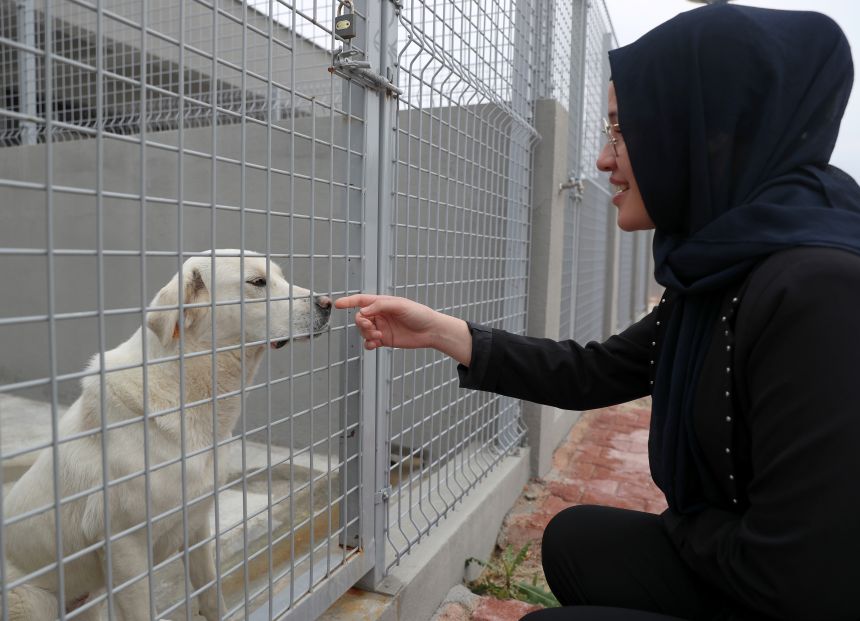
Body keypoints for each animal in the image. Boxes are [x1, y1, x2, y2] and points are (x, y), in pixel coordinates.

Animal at [1, 249, 330, 616]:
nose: (328, 303)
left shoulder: (197, 526)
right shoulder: (126, 547)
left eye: (281, 277)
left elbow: (212, 596)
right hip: (36, 601)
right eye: (257, 282)